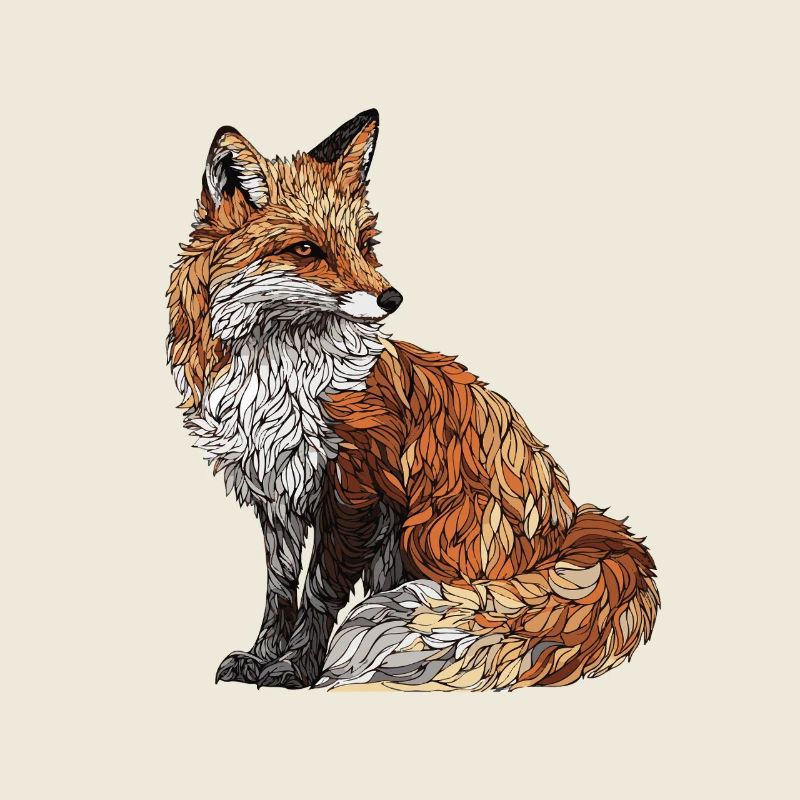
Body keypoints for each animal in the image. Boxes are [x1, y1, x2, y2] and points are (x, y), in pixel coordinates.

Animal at [167, 109, 659, 690]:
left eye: (365, 245)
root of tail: (570, 523)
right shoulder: (276, 493)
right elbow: (280, 591)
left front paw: (298, 667)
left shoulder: (358, 489)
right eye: (306, 249)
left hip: (425, 533)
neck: (280, 380)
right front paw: (262, 655)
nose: (392, 298)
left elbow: (318, 591)